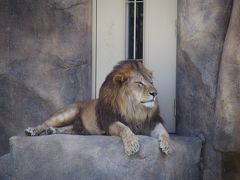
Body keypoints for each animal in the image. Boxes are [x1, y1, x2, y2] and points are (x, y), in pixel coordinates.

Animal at [24, 60, 172, 155]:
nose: (155, 93)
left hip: (78, 127)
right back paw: (33, 130)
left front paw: (167, 145)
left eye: (151, 82)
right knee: (46, 123)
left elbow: (164, 132)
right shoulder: (110, 121)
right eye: (139, 83)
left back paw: (52, 131)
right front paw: (132, 145)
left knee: (70, 129)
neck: (134, 109)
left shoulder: (152, 122)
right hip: (67, 113)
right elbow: (125, 129)